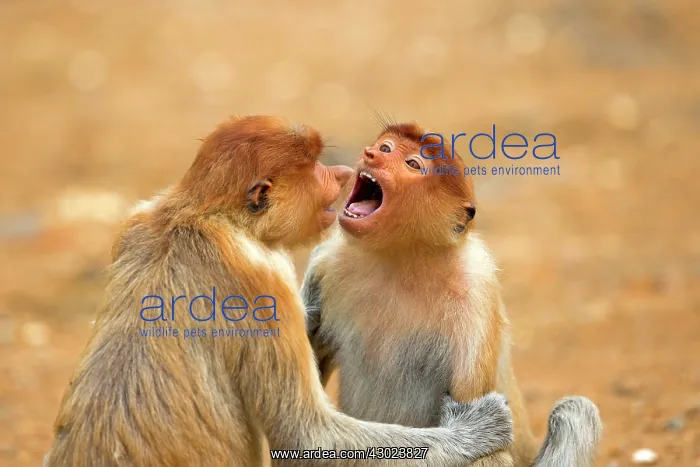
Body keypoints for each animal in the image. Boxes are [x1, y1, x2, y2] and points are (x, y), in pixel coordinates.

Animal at [43, 115, 516, 467]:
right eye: (314, 166)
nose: (345, 170)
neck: (201, 216)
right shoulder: (265, 284)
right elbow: (306, 433)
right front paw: (481, 428)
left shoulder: (137, 223)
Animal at [301, 121, 603, 467]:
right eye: (386, 147)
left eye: (413, 164)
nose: (371, 154)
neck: (403, 259)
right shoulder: (328, 261)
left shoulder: (475, 293)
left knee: (574, 410)